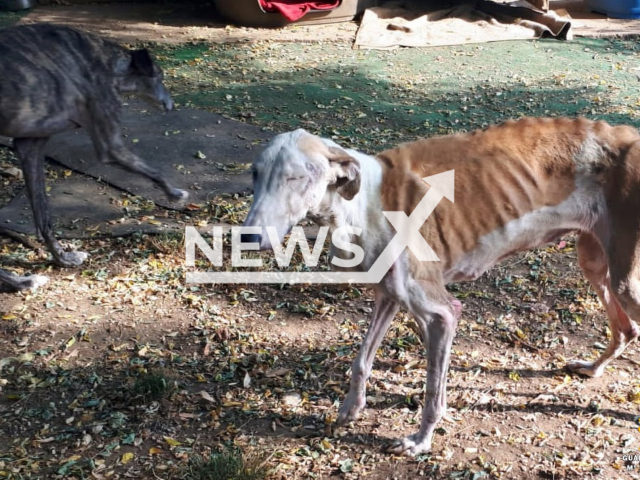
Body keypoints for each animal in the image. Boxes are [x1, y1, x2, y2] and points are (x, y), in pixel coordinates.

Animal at [0, 22, 188, 290]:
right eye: (160, 77)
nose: (171, 106)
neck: (107, 63)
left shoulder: (30, 146)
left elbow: (43, 216)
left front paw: (63, 259)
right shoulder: (110, 145)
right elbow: (155, 171)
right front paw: (174, 194)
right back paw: (21, 281)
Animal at [241, 118, 640, 456]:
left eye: (295, 178)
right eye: (255, 173)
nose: (245, 237)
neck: (364, 203)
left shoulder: (442, 313)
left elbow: (433, 391)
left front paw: (420, 441)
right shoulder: (390, 297)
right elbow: (362, 361)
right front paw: (351, 409)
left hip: (625, 281)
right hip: (595, 262)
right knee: (626, 329)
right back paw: (593, 367)